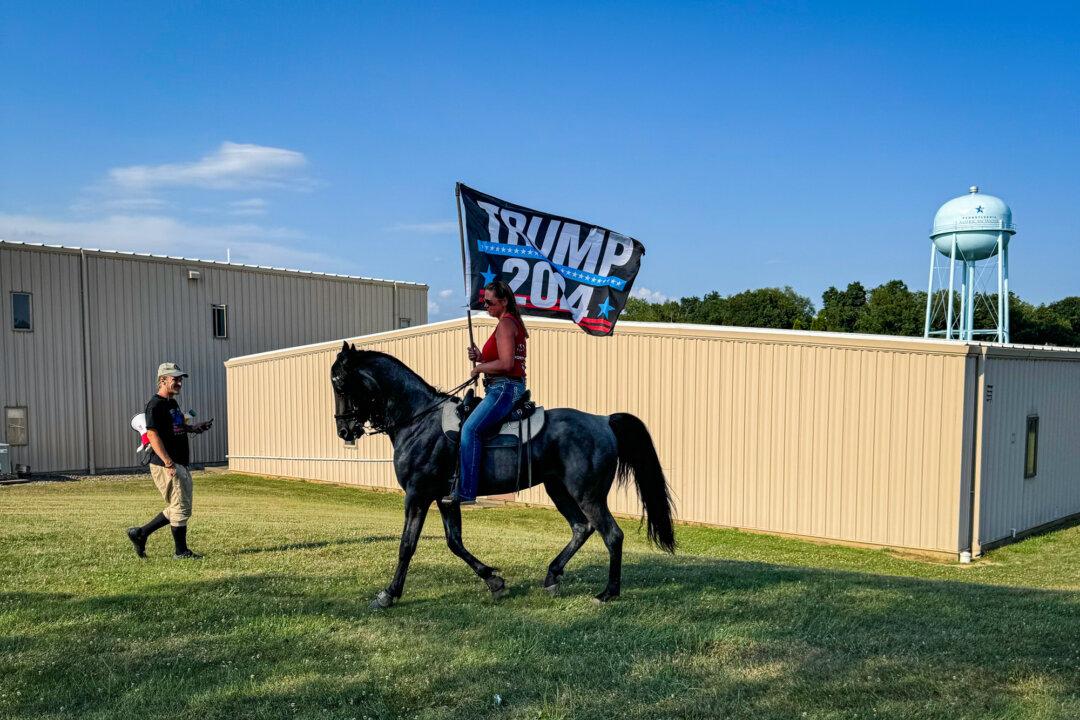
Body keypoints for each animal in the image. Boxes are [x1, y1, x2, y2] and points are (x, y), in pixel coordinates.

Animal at [328, 343, 673, 608]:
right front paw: (493, 580)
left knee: (612, 535)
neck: (418, 421)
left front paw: (389, 594)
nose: (344, 431)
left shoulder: (418, 495)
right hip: (558, 489)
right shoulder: (445, 498)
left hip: (587, 494)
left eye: (340, 383)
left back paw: (608, 593)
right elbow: (454, 542)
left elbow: (407, 545)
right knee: (581, 528)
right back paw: (552, 575)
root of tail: (603, 420)